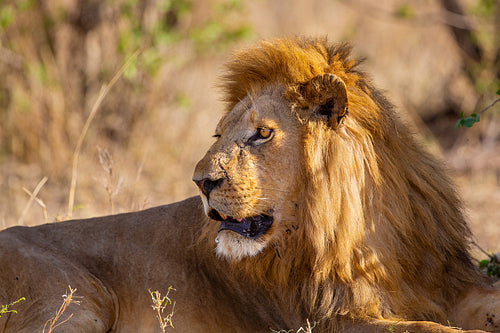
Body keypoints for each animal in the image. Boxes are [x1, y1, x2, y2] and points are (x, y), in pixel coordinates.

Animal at [0, 37, 500, 332]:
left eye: (262, 133)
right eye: (218, 134)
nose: (201, 182)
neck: (364, 230)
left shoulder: (448, 283)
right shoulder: (331, 318)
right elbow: (427, 328)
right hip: (75, 302)